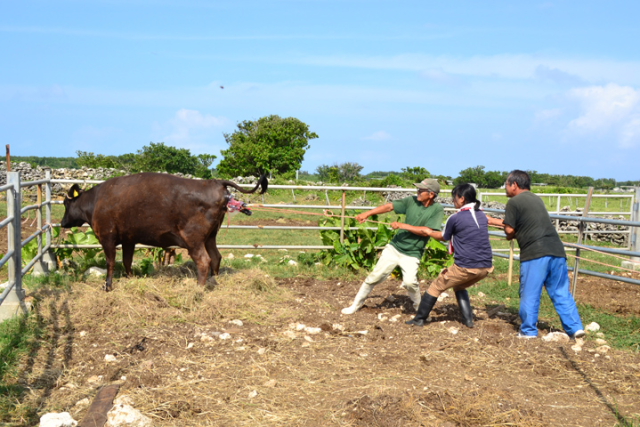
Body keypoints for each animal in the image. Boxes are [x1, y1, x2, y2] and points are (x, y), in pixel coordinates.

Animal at [60, 173, 268, 290]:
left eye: (65, 203)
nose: (62, 223)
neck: (96, 201)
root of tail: (214, 183)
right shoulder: (129, 240)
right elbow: (127, 261)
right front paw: (130, 278)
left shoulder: (107, 238)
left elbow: (111, 262)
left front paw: (108, 286)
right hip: (210, 237)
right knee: (216, 257)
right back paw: (212, 280)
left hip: (193, 239)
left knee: (203, 261)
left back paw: (199, 288)